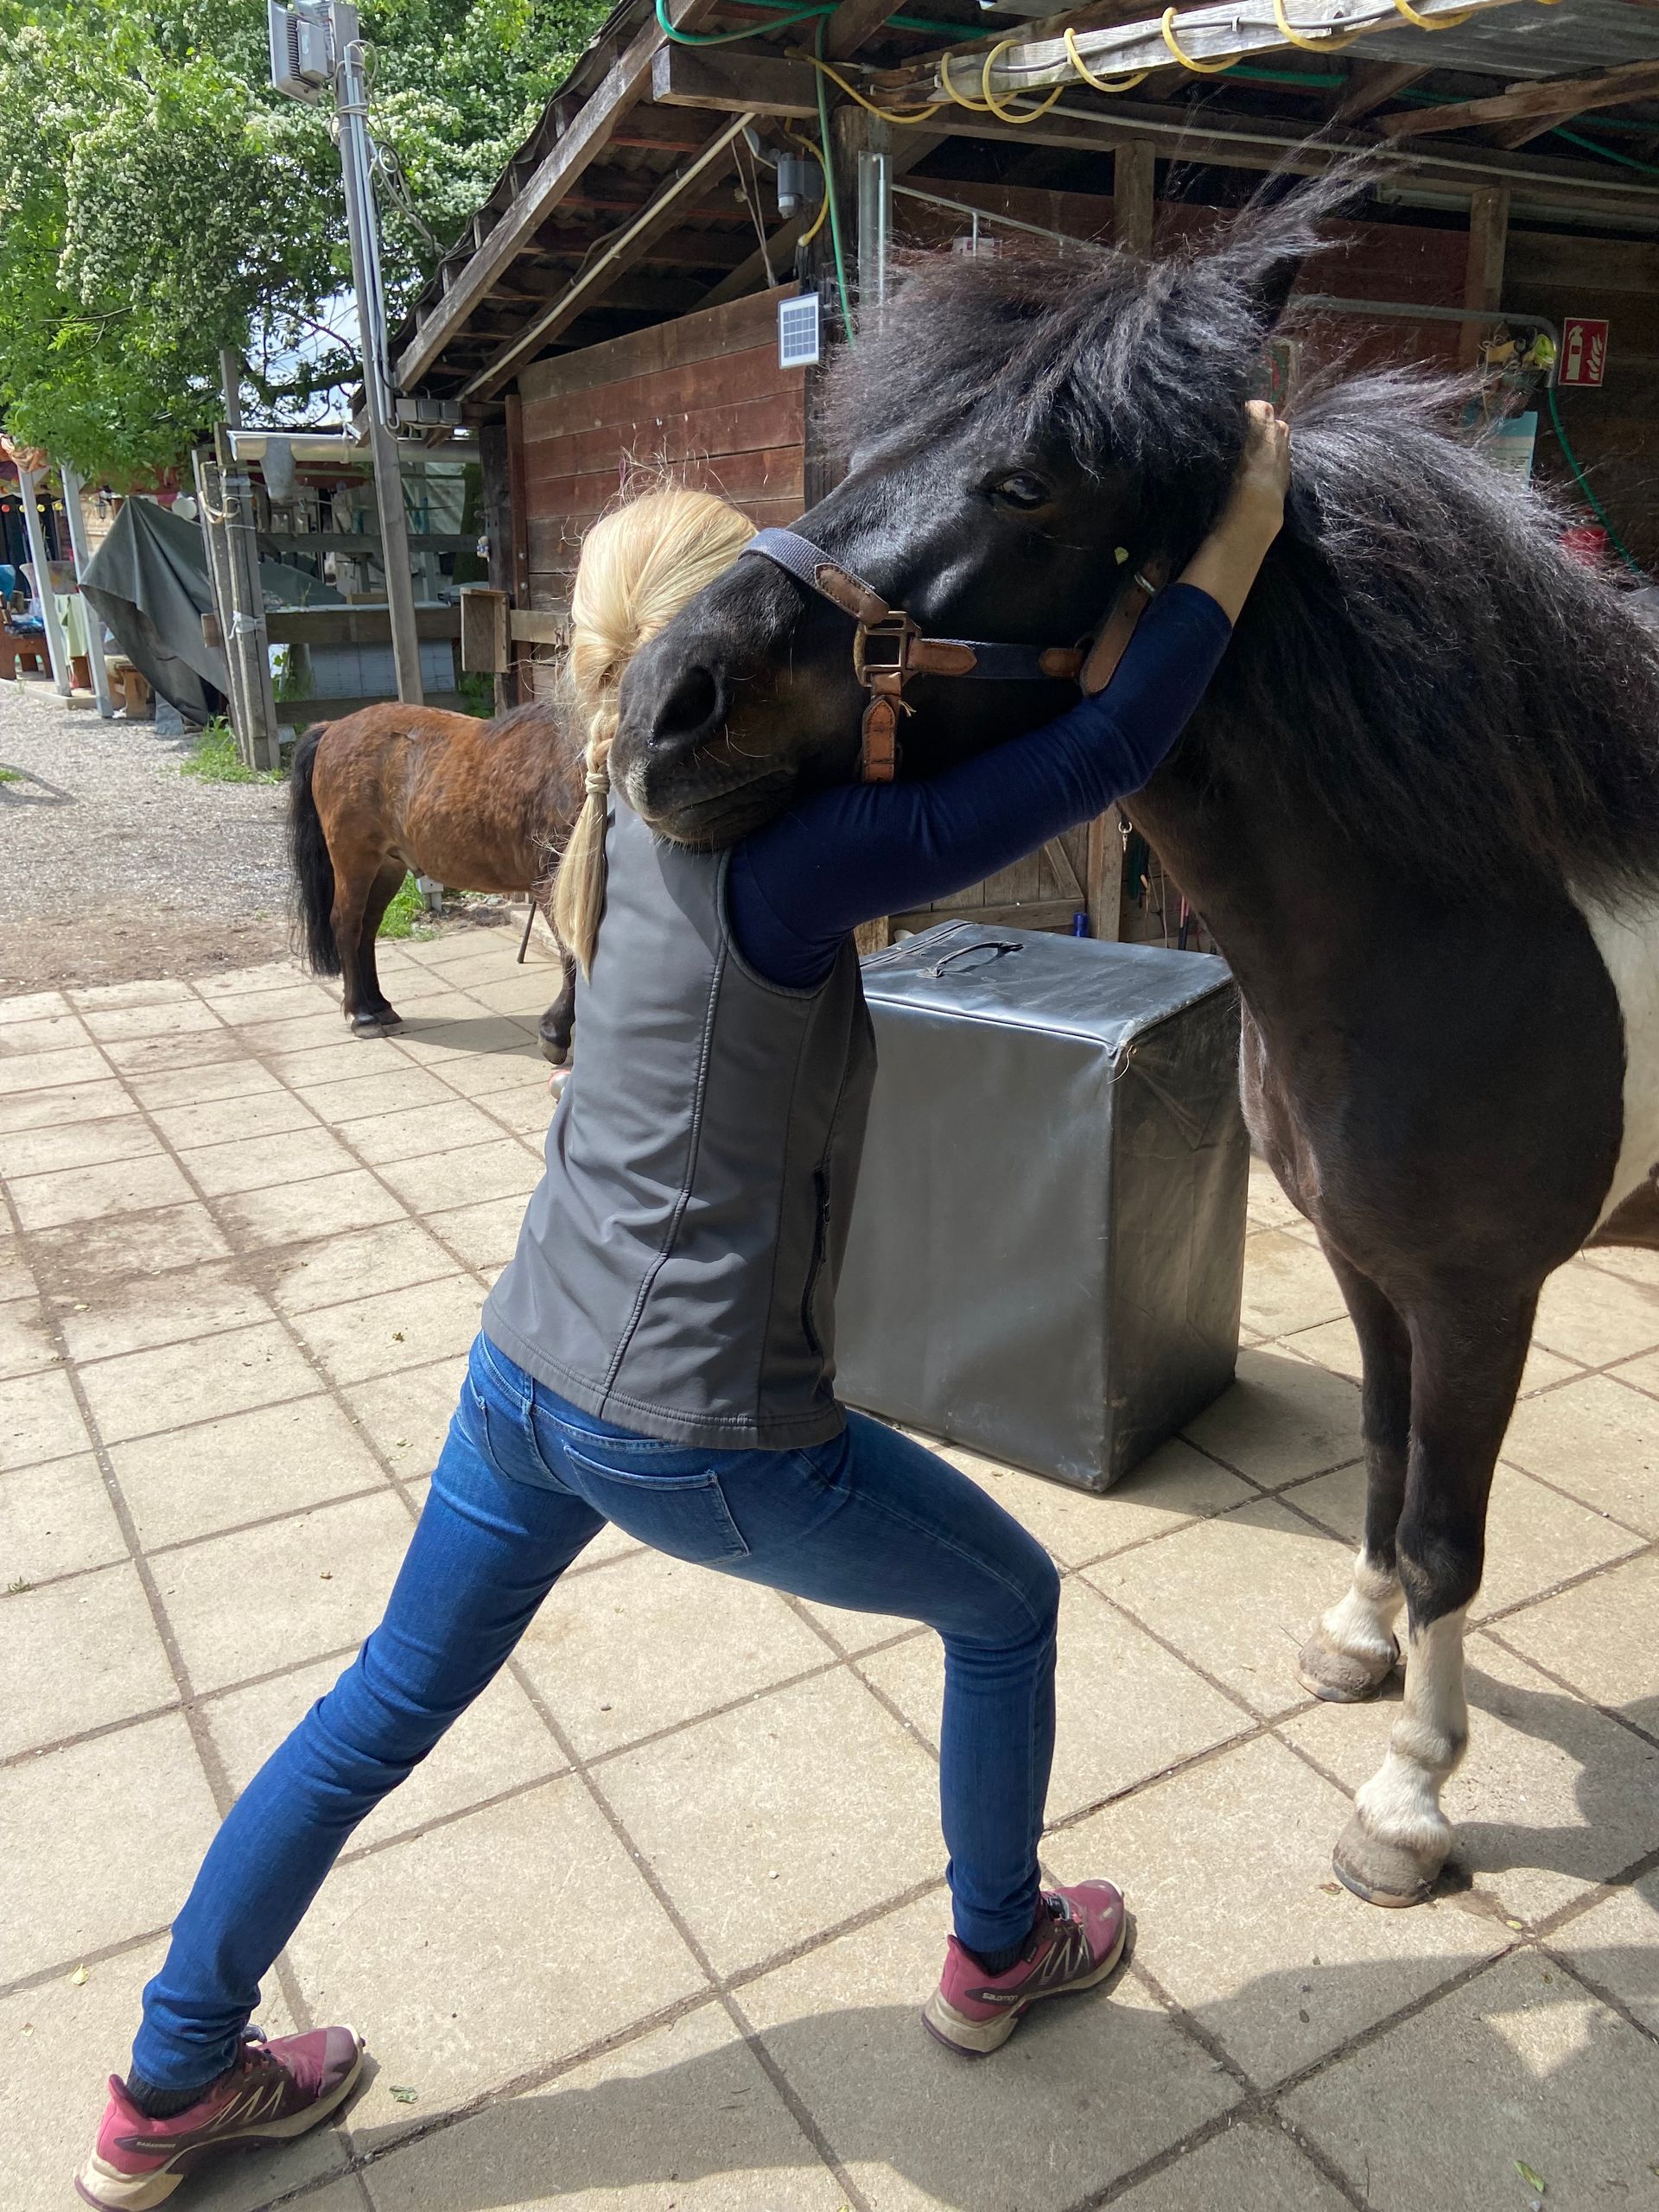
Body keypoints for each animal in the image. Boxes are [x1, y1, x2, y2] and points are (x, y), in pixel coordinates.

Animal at [289, 701, 582, 1059]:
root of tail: (332, 727)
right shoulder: (553, 884)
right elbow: (573, 957)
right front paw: (555, 1033)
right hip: (354, 857)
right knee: (347, 925)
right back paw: (362, 1015)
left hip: (388, 865)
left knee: (369, 928)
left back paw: (380, 1006)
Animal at [610, 173, 1659, 1911]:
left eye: (1026, 482)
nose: (662, 707)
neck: (1468, 920)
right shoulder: (1373, 1268)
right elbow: (1383, 1464)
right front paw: (1358, 1644)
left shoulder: (1478, 1296)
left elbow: (1448, 1532)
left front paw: (1411, 1799)